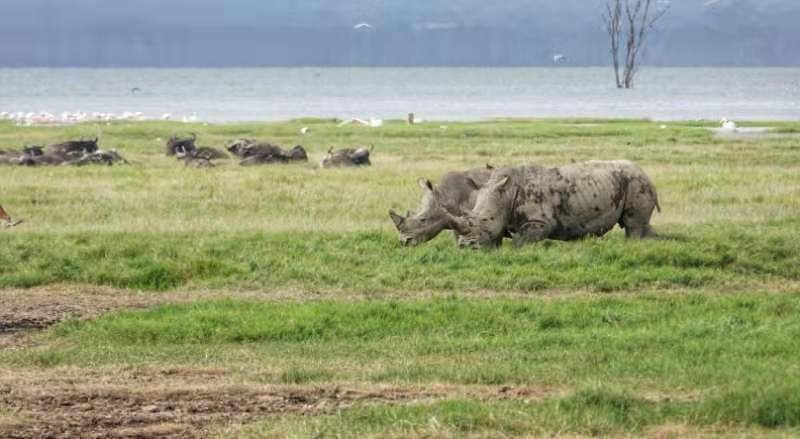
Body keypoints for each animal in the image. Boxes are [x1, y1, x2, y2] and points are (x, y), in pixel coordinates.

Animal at [440, 161, 660, 251]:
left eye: (486, 221)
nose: (466, 247)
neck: (505, 193)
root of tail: (646, 173)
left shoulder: (539, 223)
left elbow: (520, 242)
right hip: (632, 182)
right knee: (642, 226)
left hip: (636, 182)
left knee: (633, 226)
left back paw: (632, 245)